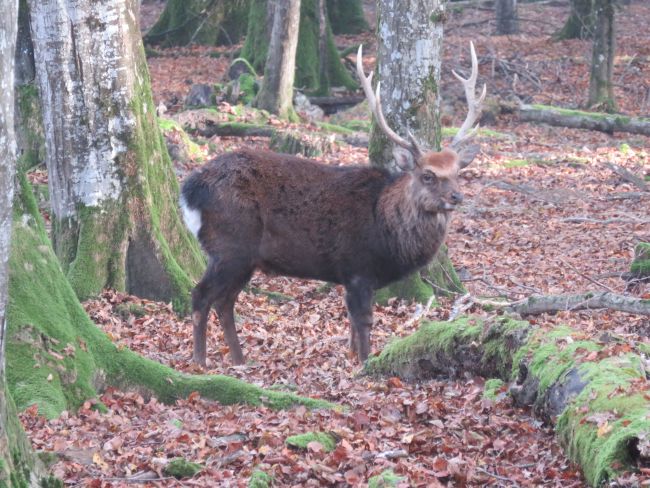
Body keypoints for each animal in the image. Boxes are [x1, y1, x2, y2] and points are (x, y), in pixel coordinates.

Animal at [180, 43, 484, 368]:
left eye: (457, 172)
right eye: (428, 175)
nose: (456, 197)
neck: (385, 229)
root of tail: (189, 189)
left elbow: (351, 323)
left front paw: (352, 358)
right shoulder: (356, 266)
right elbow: (363, 321)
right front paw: (365, 364)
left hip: (244, 258)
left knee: (225, 302)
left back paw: (239, 360)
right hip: (229, 245)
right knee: (200, 295)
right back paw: (200, 361)